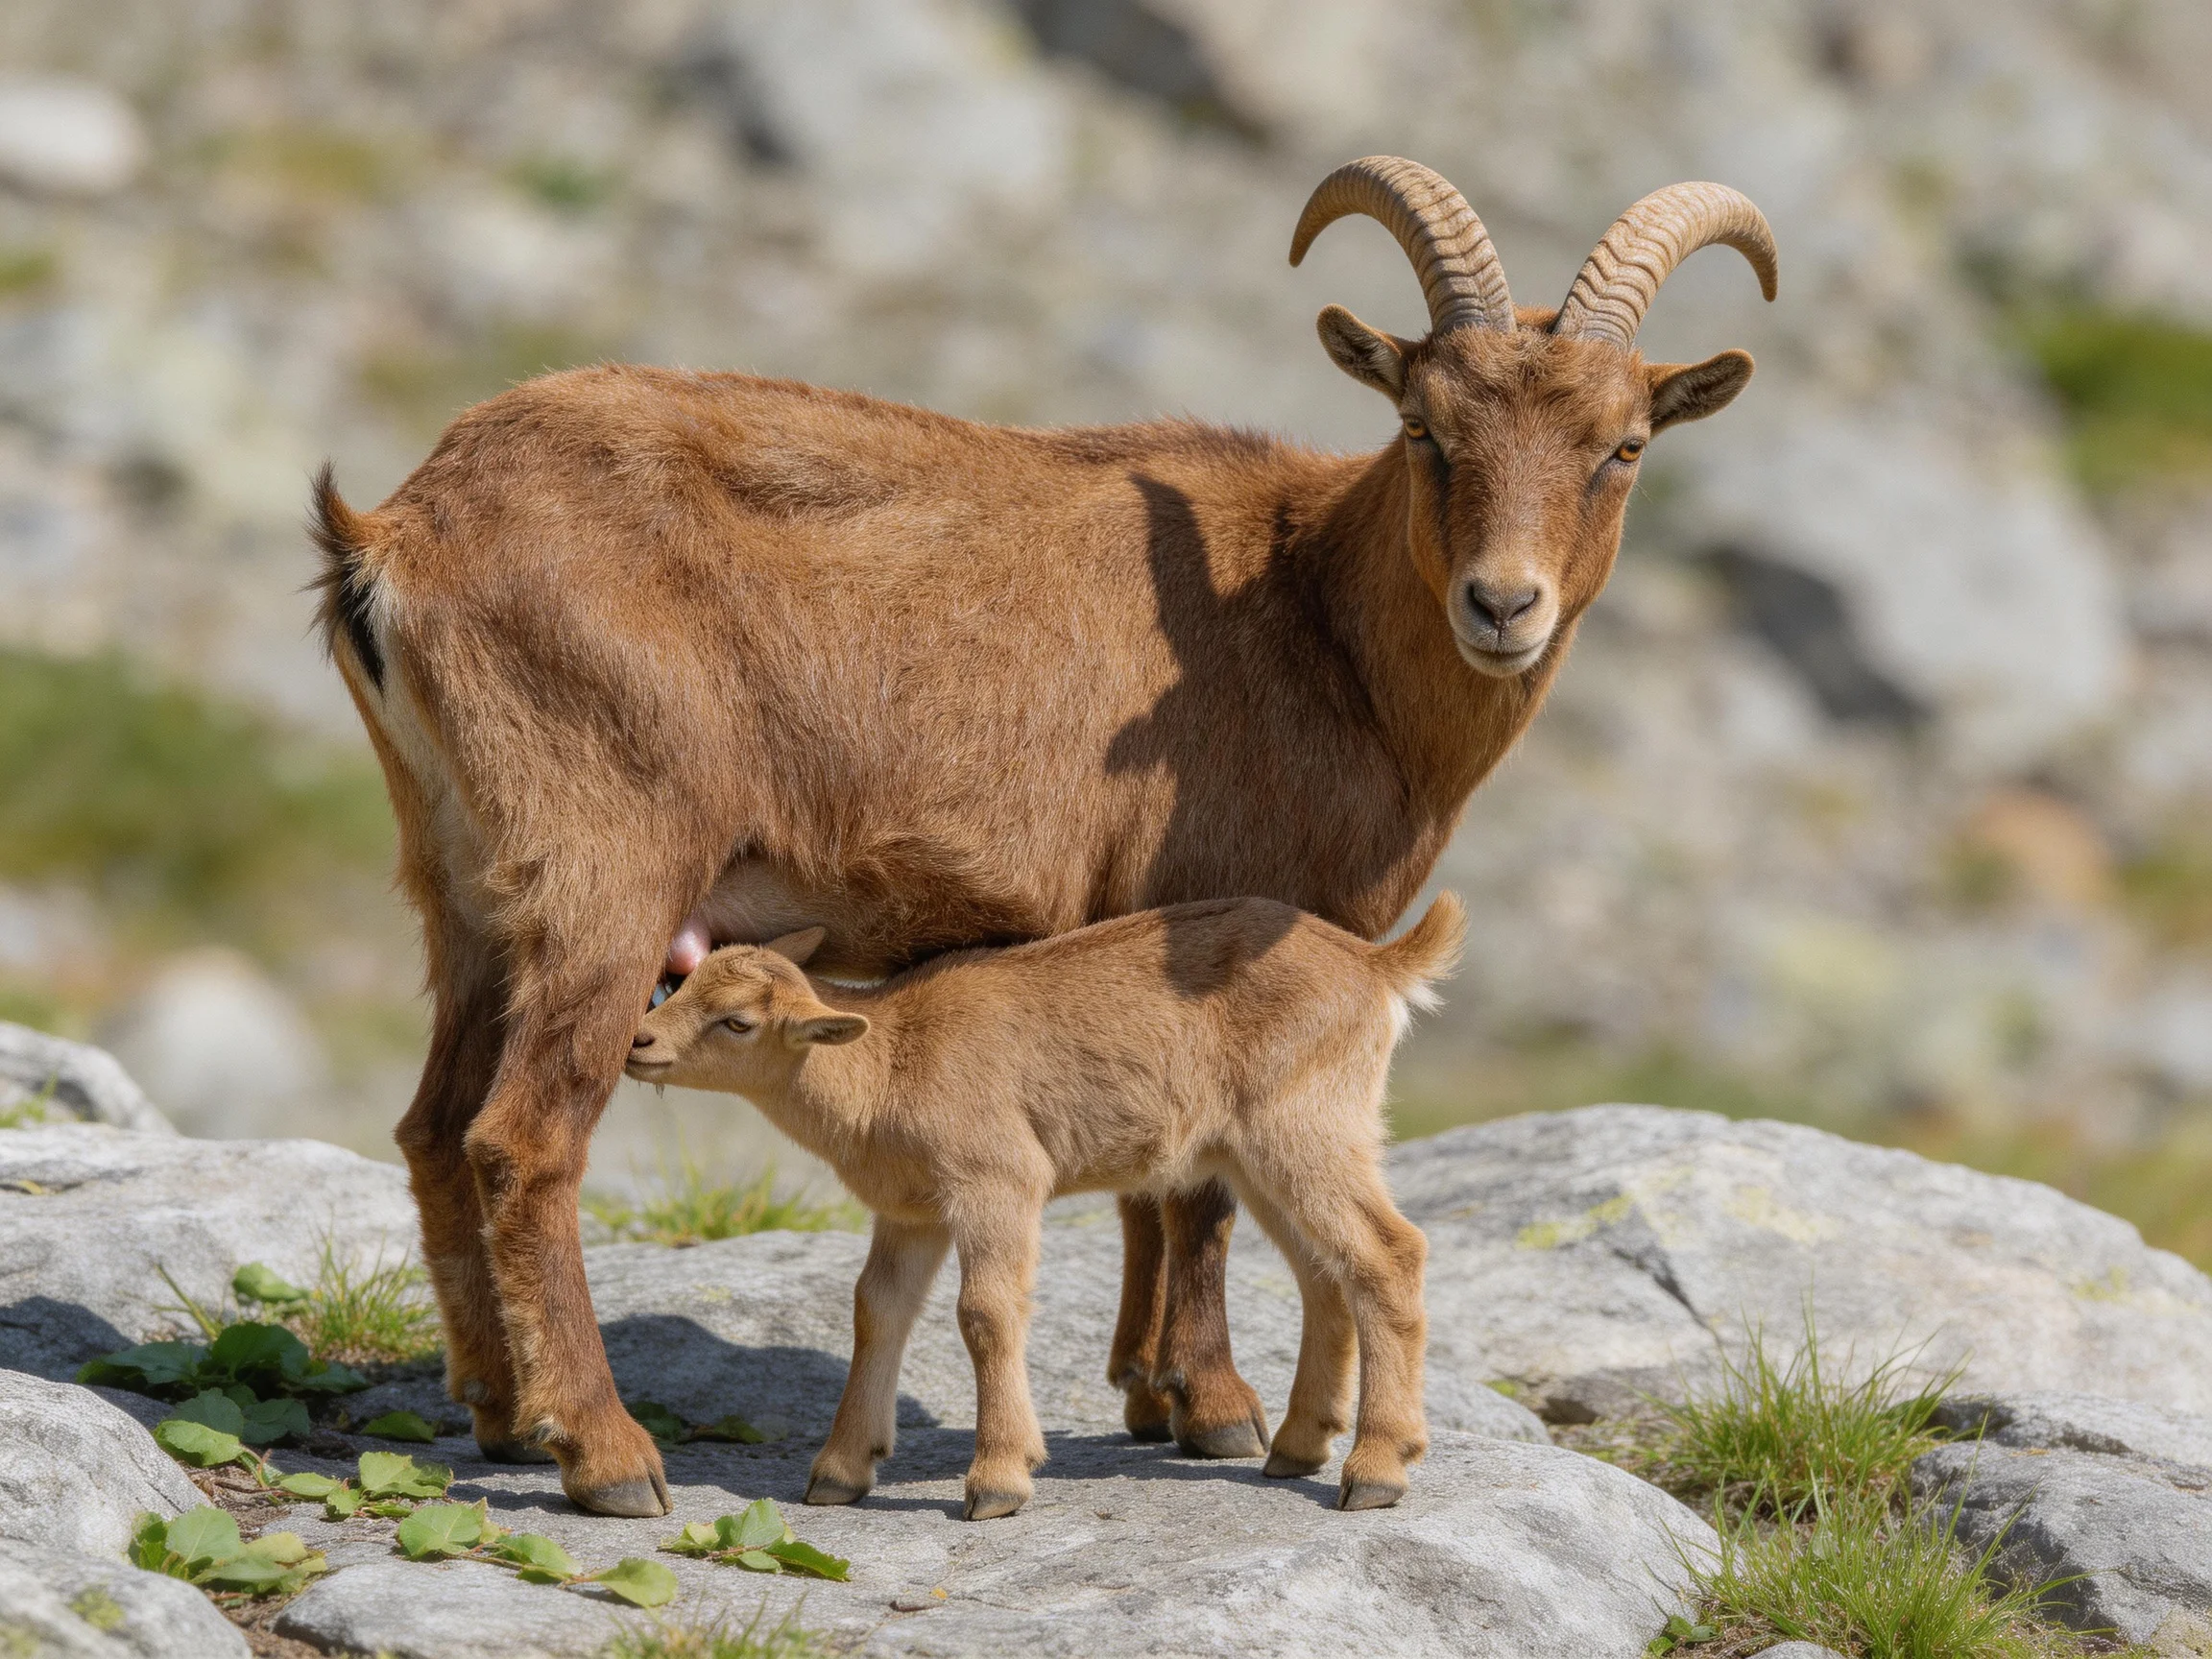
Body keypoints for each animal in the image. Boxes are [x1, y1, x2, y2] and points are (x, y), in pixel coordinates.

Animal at [627, 894, 1465, 1518]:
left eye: (738, 1021)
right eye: (680, 986)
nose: (638, 1043)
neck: (889, 1061)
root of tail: (1376, 965)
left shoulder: (998, 1182)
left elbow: (985, 1312)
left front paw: (998, 1478)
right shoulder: (911, 1211)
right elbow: (876, 1310)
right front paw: (838, 1472)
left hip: (1308, 1130)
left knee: (1389, 1253)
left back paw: (1376, 1469)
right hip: (1258, 1155)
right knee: (1326, 1273)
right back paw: (1297, 1447)